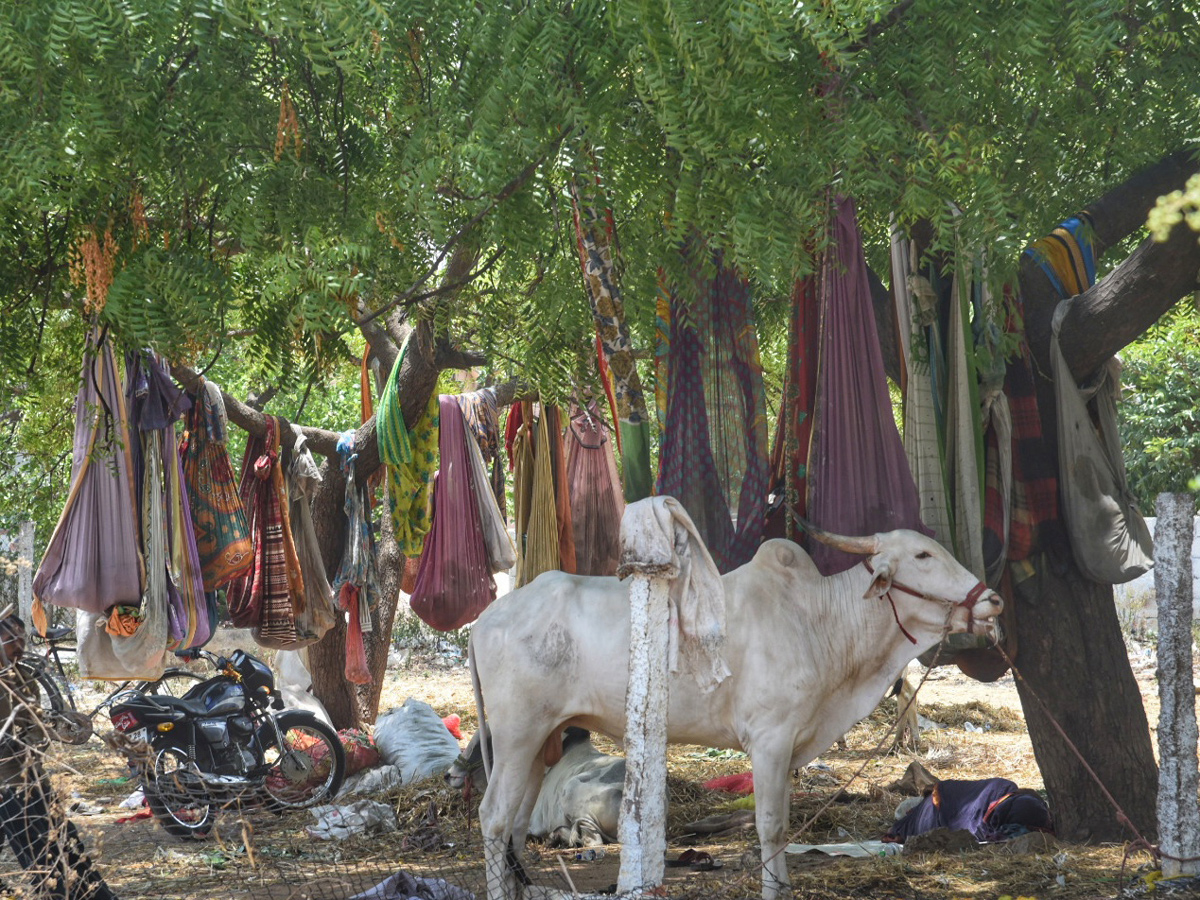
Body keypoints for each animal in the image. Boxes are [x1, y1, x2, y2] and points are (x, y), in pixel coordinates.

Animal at [470, 525, 1003, 897]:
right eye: (923, 556)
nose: (993, 599)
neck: (818, 620)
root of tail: (484, 619)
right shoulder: (769, 740)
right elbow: (771, 826)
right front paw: (773, 890)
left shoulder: (788, 749)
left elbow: (782, 822)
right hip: (517, 733)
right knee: (494, 818)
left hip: (543, 740)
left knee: (516, 825)